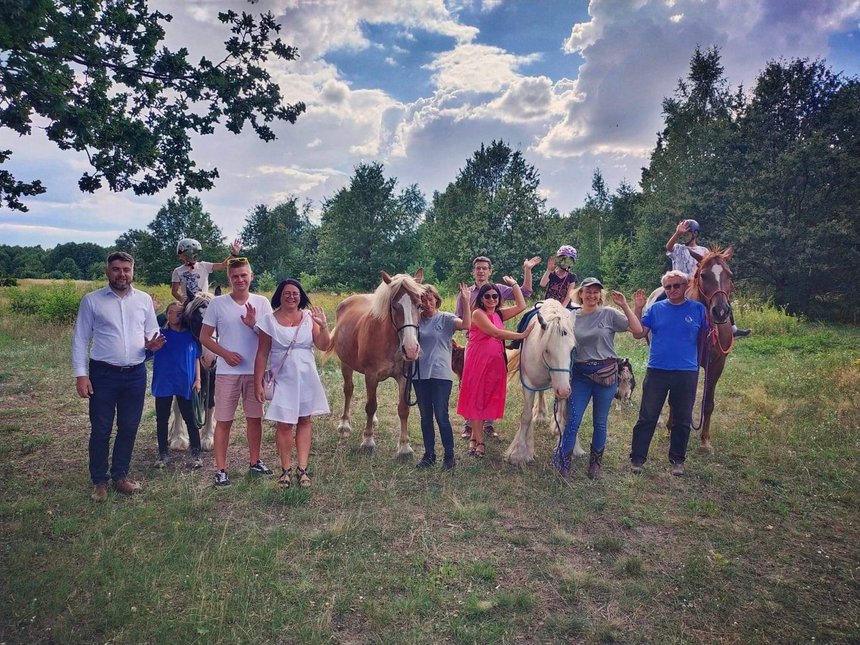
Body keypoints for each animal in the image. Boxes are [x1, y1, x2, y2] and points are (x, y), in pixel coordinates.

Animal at [168, 291, 217, 451]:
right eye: (194, 320)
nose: (209, 359)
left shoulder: (212, 378)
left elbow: (210, 404)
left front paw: (207, 437)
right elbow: (178, 406)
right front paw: (178, 438)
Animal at [327, 270, 424, 455]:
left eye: (420, 305)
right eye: (394, 306)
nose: (410, 349)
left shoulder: (404, 377)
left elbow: (403, 408)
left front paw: (404, 446)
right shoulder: (371, 376)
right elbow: (370, 406)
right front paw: (368, 440)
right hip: (346, 364)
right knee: (348, 390)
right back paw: (344, 424)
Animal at [504, 300, 579, 466]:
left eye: (572, 349)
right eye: (547, 350)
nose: (563, 391)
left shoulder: (567, 383)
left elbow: (566, 414)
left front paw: (564, 446)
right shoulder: (528, 383)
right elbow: (526, 416)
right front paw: (519, 453)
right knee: (541, 392)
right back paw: (540, 415)